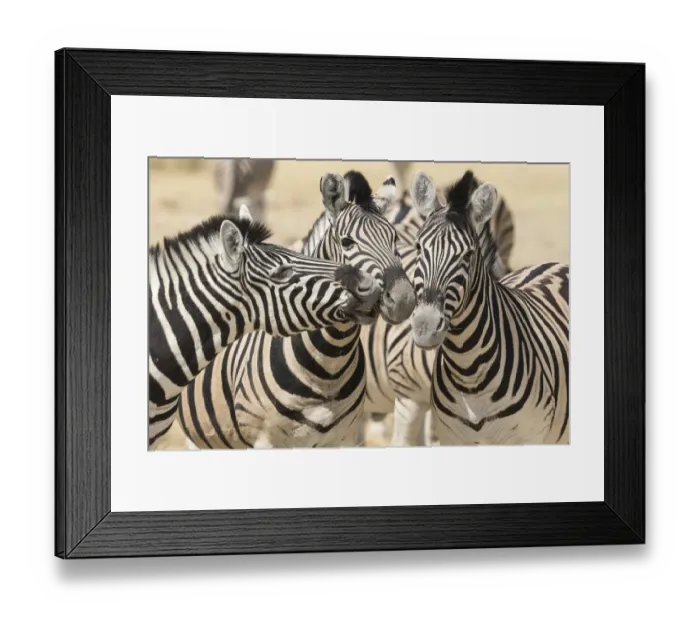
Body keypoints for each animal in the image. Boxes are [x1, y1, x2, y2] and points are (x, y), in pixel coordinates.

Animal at [176, 171, 416, 449]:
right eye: (347, 242)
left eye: (395, 238)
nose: (403, 299)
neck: (329, 366)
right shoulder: (264, 440)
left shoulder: (345, 437)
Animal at [409, 170, 569, 445]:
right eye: (418, 247)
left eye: (467, 255)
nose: (425, 326)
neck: (468, 373)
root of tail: (553, 263)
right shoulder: (452, 439)